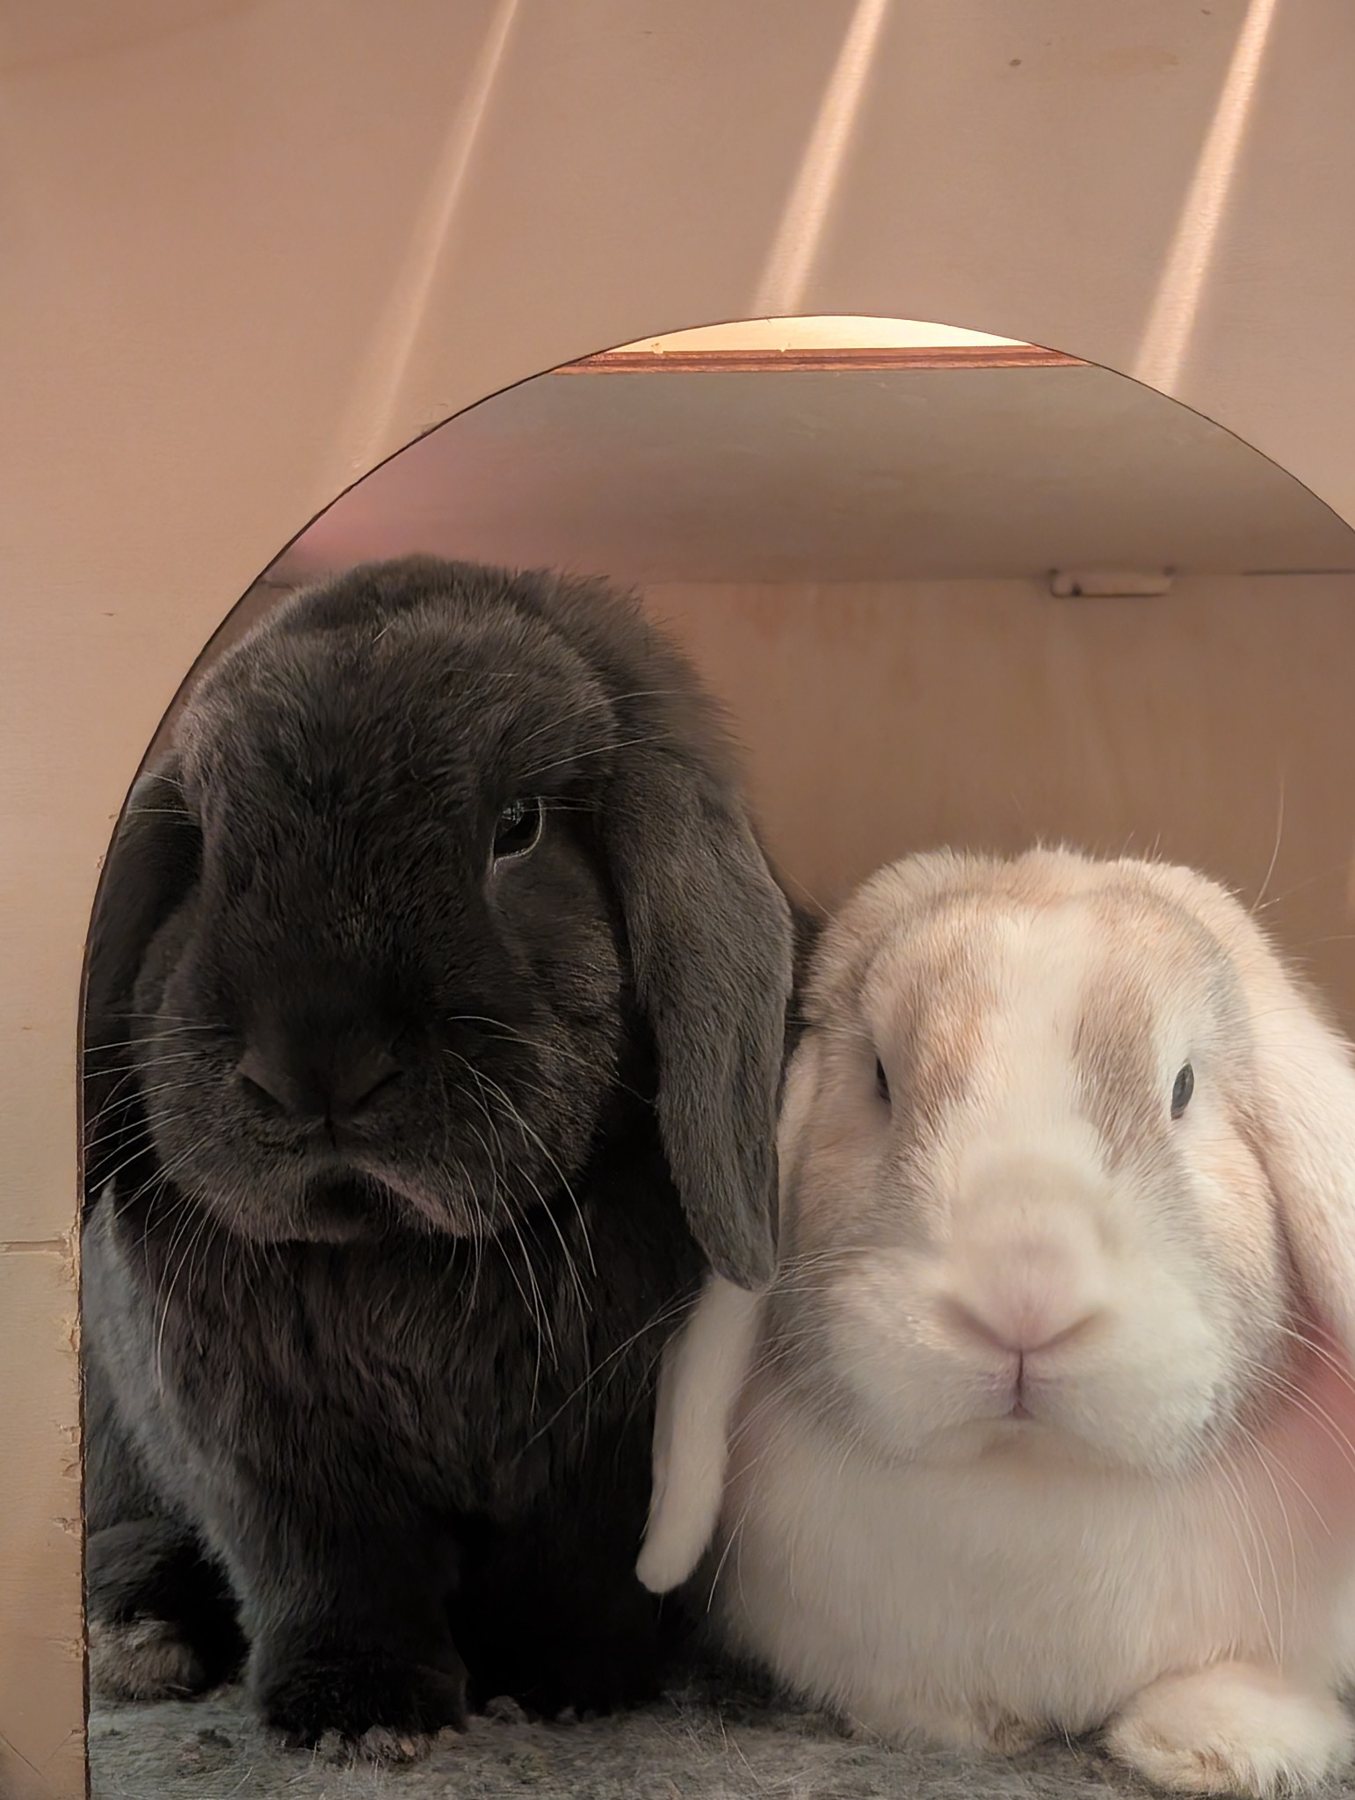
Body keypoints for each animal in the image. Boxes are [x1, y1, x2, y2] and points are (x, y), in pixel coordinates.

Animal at [81, 554, 798, 1757]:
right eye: (210, 848)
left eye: (518, 825)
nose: (317, 1061)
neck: (405, 1251)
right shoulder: (267, 1453)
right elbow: (330, 1572)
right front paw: (356, 1714)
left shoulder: (604, 1458)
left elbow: (576, 1571)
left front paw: (560, 1683)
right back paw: (139, 1636)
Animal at [638, 847, 1355, 1798]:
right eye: (879, 1079)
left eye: (1182, 1087)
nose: (1023, 1293)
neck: (1029, 1481)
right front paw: (966, 1724)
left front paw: (1219, 1746)